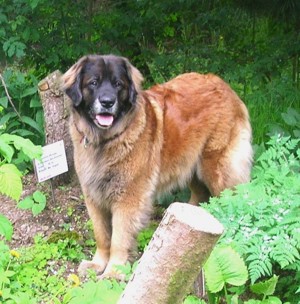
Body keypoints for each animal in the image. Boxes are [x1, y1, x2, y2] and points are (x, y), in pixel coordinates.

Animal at [62, 54, 252, 278]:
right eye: (93, 83)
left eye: (118, 84)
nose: (107, 102)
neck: (105, 141)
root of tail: (224, 86)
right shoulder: (93, 196)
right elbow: (102, 235)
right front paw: (97, 263)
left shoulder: (128, 199)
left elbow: (118, 238)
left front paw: (113, 272)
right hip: (190, 166)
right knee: (200, 196)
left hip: (217, 170)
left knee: (235, 202)